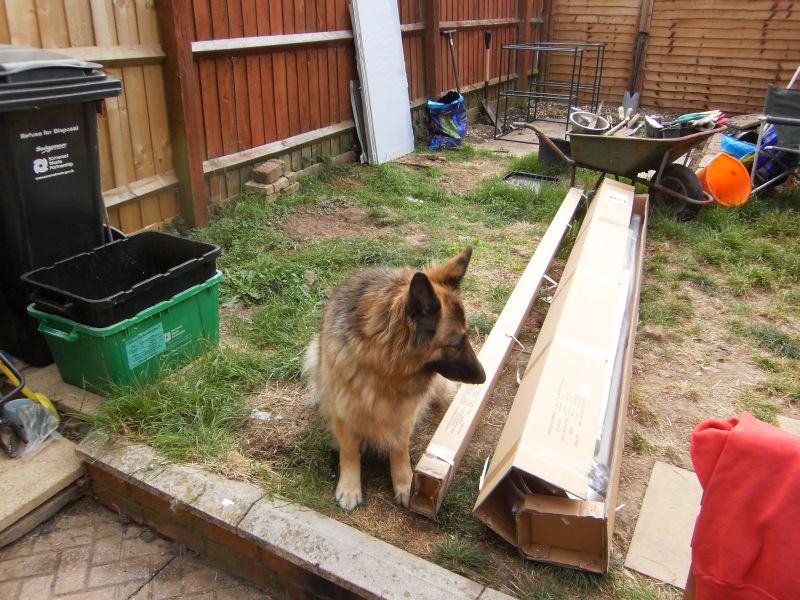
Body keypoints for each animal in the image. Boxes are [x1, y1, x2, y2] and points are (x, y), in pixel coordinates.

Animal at [304, 248, 484, 510]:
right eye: (455, 344)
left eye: (466, 336)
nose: (484, 377)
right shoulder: (344, 408)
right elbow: (350, 450)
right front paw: (349, 487)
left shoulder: (405, 413)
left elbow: (399, 449)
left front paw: (405, 483)